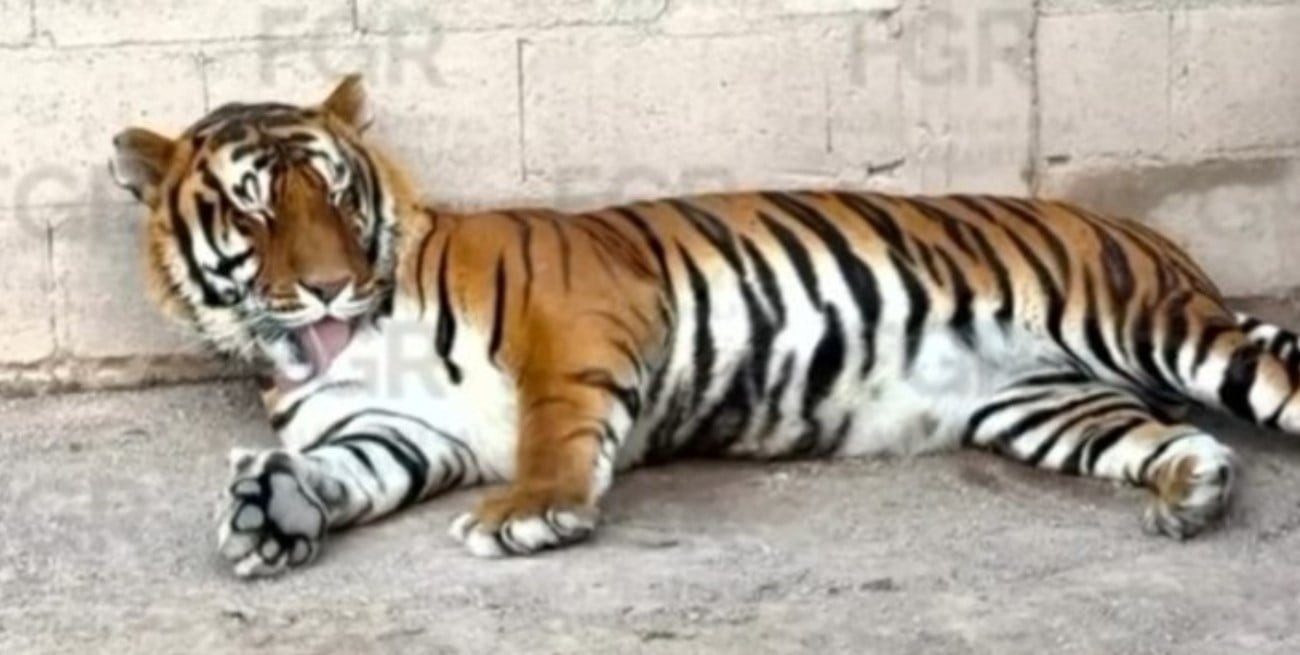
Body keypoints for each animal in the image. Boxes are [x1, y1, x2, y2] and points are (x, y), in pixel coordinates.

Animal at [109, 74, 1300, 578]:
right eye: (255, 209)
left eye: (335, 193)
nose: (326, 289)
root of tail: (1138, 228)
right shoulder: (401, 433)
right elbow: (345, 471)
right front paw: (271, 510)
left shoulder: (577, 317)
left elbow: (555, 426)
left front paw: (532, 512)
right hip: (1045, 406)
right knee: (1175, 438)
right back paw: (1191, 492)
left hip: (1154, 328)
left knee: (1267, 383)